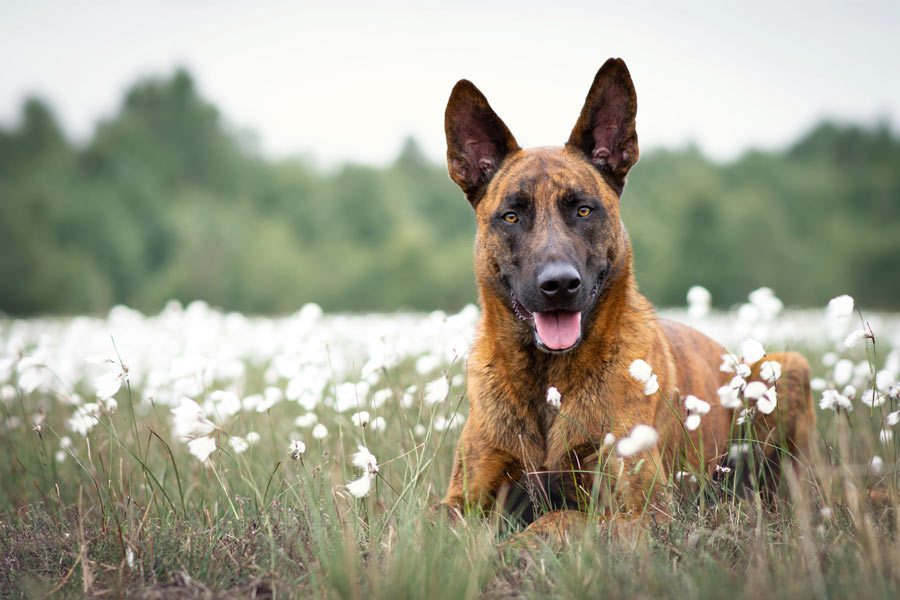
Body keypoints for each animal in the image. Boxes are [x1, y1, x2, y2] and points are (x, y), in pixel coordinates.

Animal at [436, 58, 816, 540]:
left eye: (584, 210)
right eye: (511, 216)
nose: (560, 285)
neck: (547, 381)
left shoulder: (642, 508)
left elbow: (557, 518)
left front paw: (513, 543)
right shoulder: (461, 500)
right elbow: (432, 523)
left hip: (783, 373)